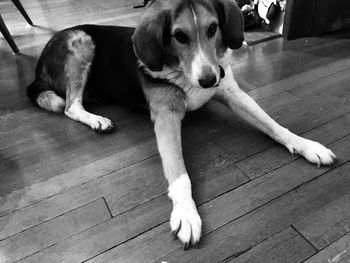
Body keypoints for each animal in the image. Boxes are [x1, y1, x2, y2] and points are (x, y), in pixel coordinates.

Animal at [27, 0, 336, 250]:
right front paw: (186, 213)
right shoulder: (166, 117)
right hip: (81, 42)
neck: (183, 72)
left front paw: (306, 145)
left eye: (213, 29)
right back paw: (97, 120)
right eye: (179, 36)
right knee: (70, 106)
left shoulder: (232, 93)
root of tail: (39, 64)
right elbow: (180, 174)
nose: (209, 79)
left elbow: (274, 125)